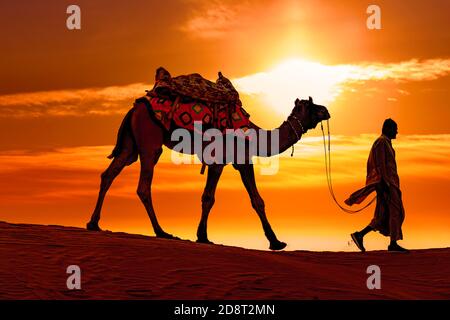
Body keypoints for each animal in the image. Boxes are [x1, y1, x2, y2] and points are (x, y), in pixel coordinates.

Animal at [87, 96, 330, 251]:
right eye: (312, 105)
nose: (326, 110)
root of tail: (134, 108)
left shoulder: (241, 160)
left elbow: (256, 200)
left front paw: (276, 242)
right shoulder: (220, 159)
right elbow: (209, 198)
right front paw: (202, 236)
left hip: (131, 145)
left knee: (108, 174)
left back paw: (93, 223)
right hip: (150, 142)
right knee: (143, 186)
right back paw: (162, 232)